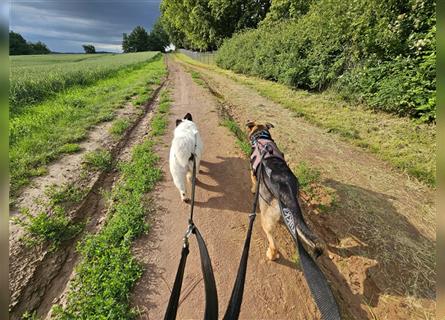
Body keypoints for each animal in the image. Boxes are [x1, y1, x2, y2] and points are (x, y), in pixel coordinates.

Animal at [246, 120, 322, 260]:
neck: (261, 136)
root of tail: (285, 185)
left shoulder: (253, 173)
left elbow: (253, 182)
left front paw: (253, 190)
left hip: (266, 217)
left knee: (272, 239)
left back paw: (271, 254)